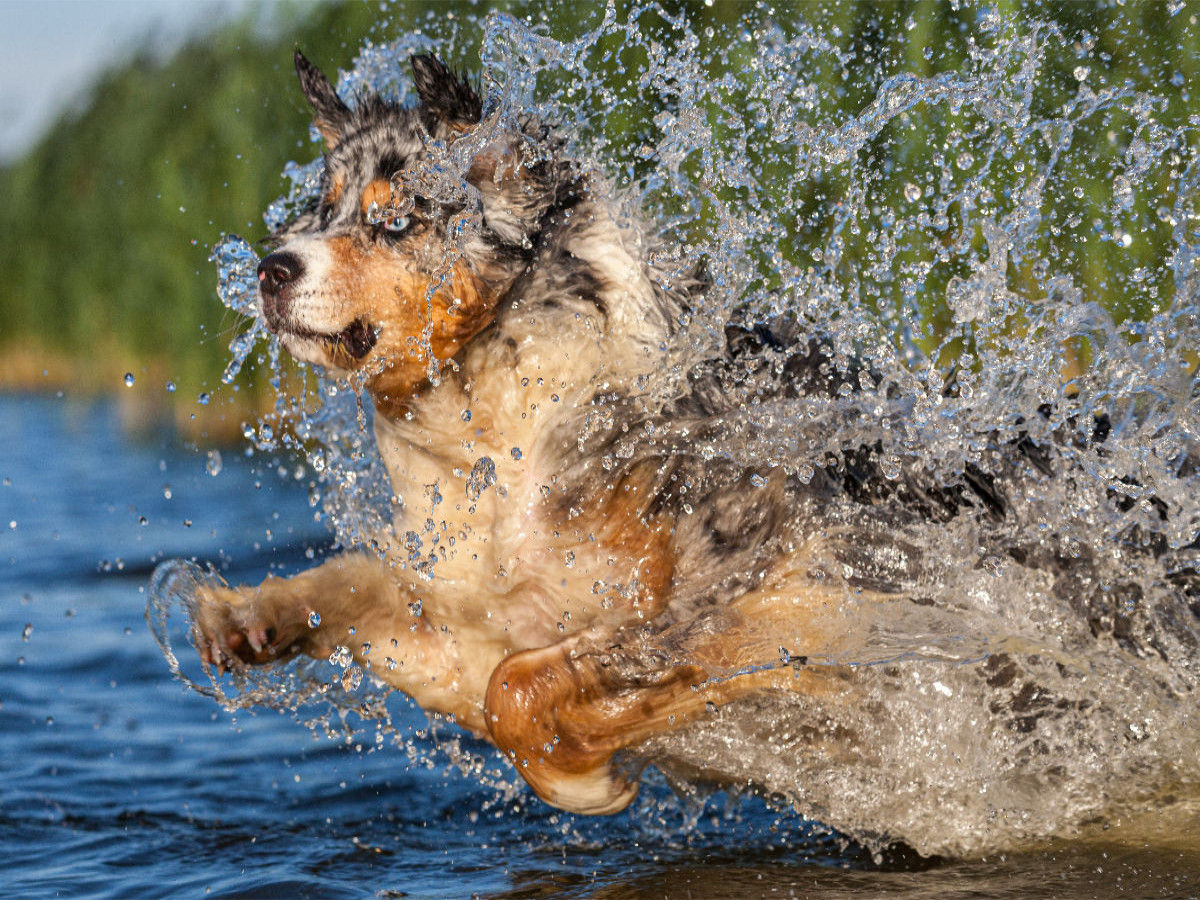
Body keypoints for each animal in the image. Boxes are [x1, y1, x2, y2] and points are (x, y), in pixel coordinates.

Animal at [192, 49, 1195, 825]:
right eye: (314, 211)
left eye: (395, 220)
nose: (270, 268)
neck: (508, 429)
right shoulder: (472, 608)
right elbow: (371, 589)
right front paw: (247, 614)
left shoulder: (784, 586)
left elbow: (522, 686)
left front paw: (580, 784)